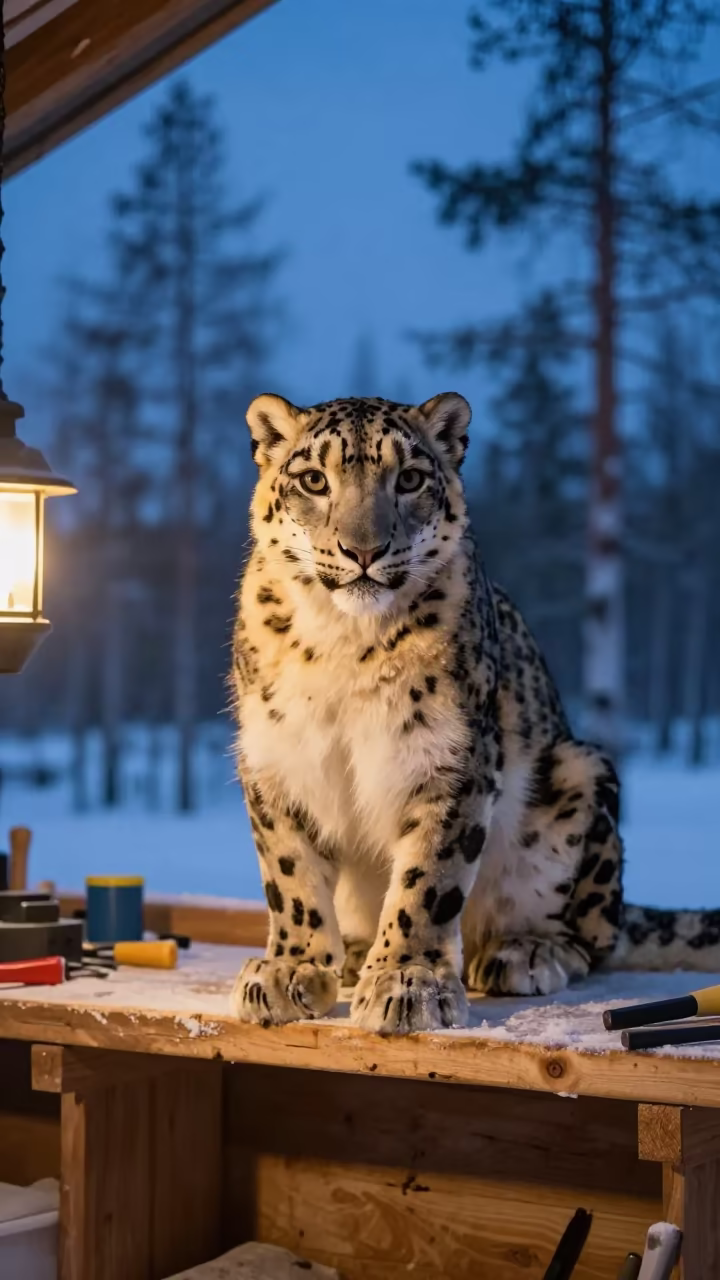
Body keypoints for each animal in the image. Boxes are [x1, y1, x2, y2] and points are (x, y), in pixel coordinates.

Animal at [229, 390, 720, 1034]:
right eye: (314, 479)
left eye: (409, 478)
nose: (363, 550)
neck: (344, 643)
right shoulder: (277, 760)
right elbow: (290, 876)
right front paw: (290, 970)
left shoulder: (450, 758)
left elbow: (429, 878)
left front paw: (407, 982)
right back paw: (355, 952)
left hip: (582, 777)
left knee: (593, 935)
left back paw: (525, 951)